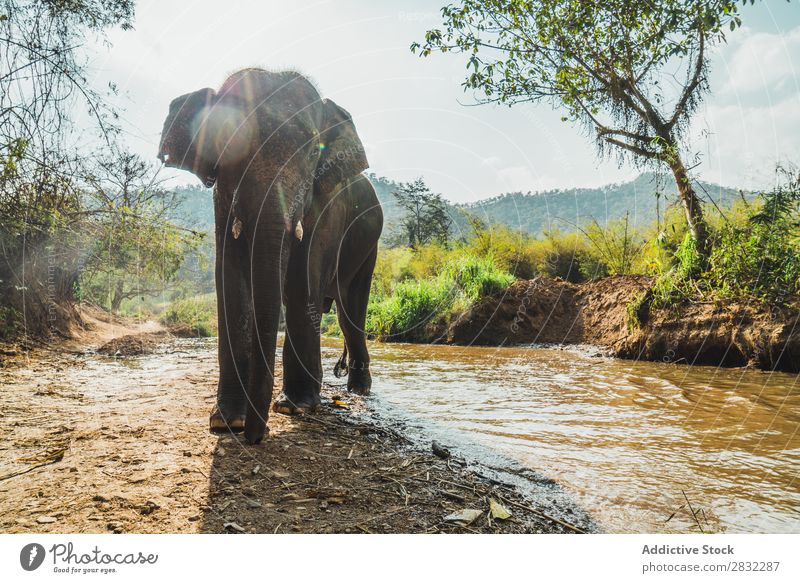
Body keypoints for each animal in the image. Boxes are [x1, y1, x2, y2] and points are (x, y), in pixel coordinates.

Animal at [159, 68, 384, 442]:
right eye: (227, 140)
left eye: (312, 151)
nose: (256, 436)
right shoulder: (222, 197)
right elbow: (230, 277)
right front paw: (226, 421)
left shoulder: (325, 205)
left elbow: (302, 281)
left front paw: (295, 407)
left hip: (368, 243)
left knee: (350, 312)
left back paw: (358, 390)